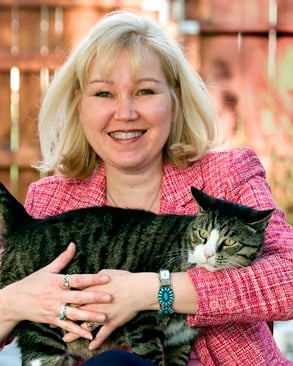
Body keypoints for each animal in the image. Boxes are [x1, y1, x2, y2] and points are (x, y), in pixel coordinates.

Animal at [0, 183, 272, 366]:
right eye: (202, 235)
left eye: (229, 242)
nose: (207, 254)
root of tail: (28, 225)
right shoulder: (144, 325)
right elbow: (152, 357)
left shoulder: (180, 341)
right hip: (42, 335)